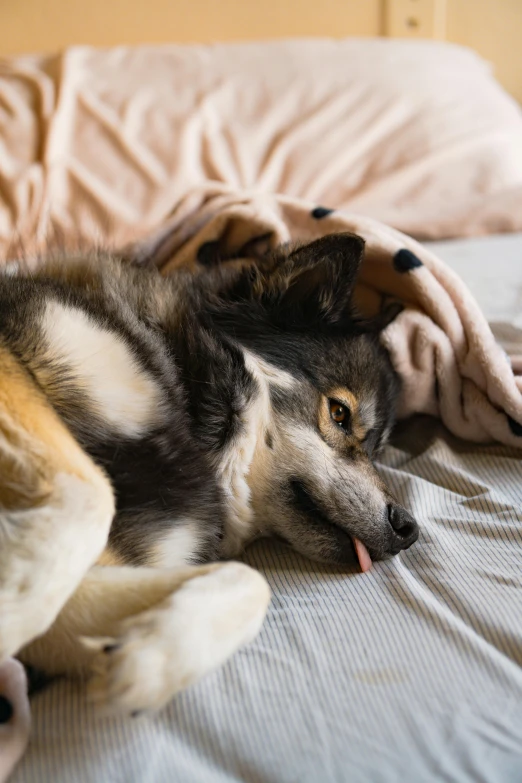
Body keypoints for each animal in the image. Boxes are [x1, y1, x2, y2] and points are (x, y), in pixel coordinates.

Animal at [0, 230, 416, 712]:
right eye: (340, 413)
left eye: (379, 450)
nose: (408, 528)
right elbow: (88, 496)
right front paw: (12, 604)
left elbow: (252, 581)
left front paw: (152, 657)